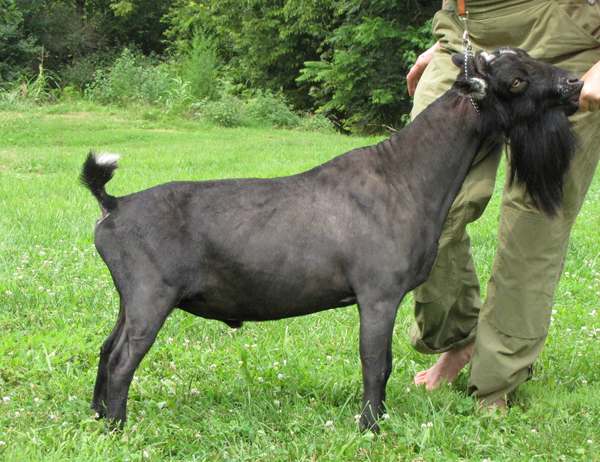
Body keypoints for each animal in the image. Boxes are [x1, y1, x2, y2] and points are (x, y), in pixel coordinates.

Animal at [79, 47, 580, 434]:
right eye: (515, 80)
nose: (574, 82)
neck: (404, 175)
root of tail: (115, 205)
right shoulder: (378, 293)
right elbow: (375, 362)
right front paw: (371, 428)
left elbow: (384, 362)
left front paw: (379, 420)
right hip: (151, 294)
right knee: (122, 359)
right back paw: (117, 428)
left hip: (132, 298)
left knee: (106, 349)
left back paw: (97, 415)